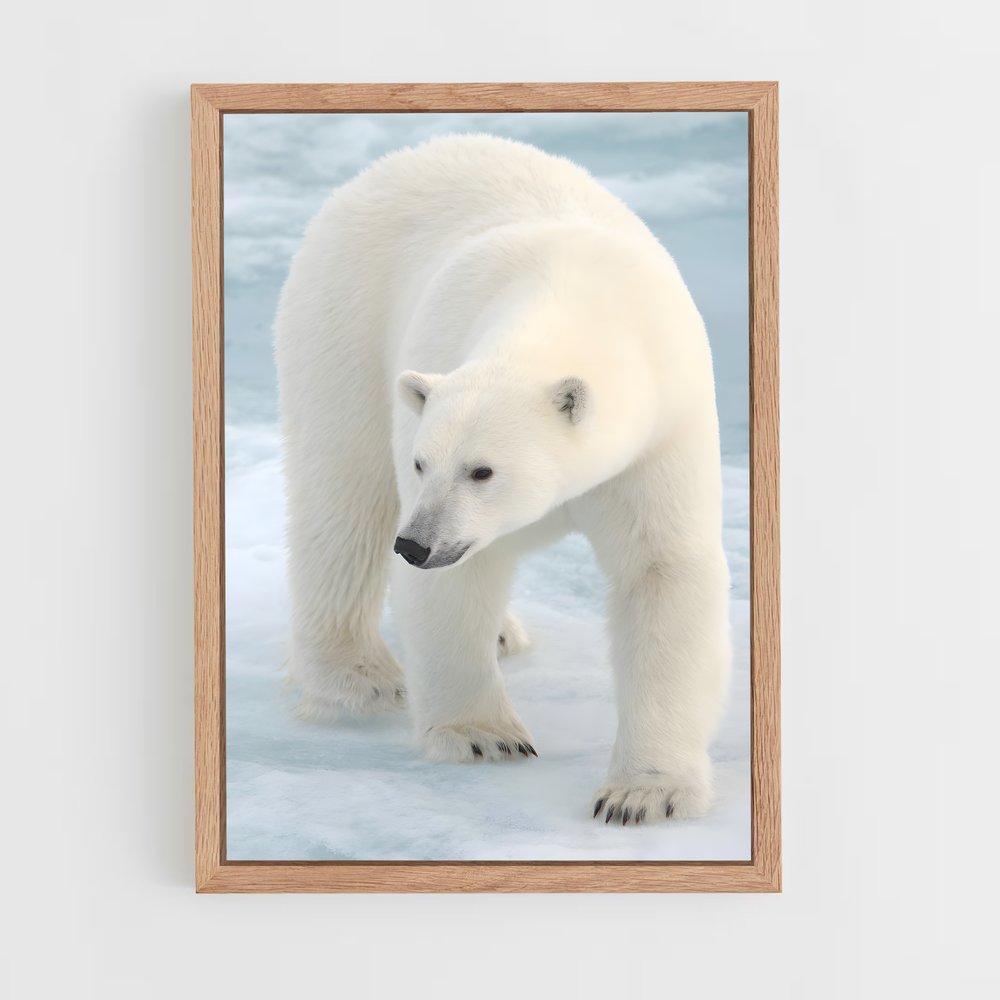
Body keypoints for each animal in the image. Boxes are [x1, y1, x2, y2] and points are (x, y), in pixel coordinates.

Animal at [274, 134, 731, 824]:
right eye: (422, 463)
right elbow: (457, 582)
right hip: (343, 318)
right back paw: (359, 678)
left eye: (482, 470)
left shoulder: (659, 434)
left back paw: (501, 632)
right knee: (344, 494)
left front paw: (641, 794)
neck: (574, 299)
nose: (415, 545)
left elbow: (663, 570)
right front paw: (484, 736)